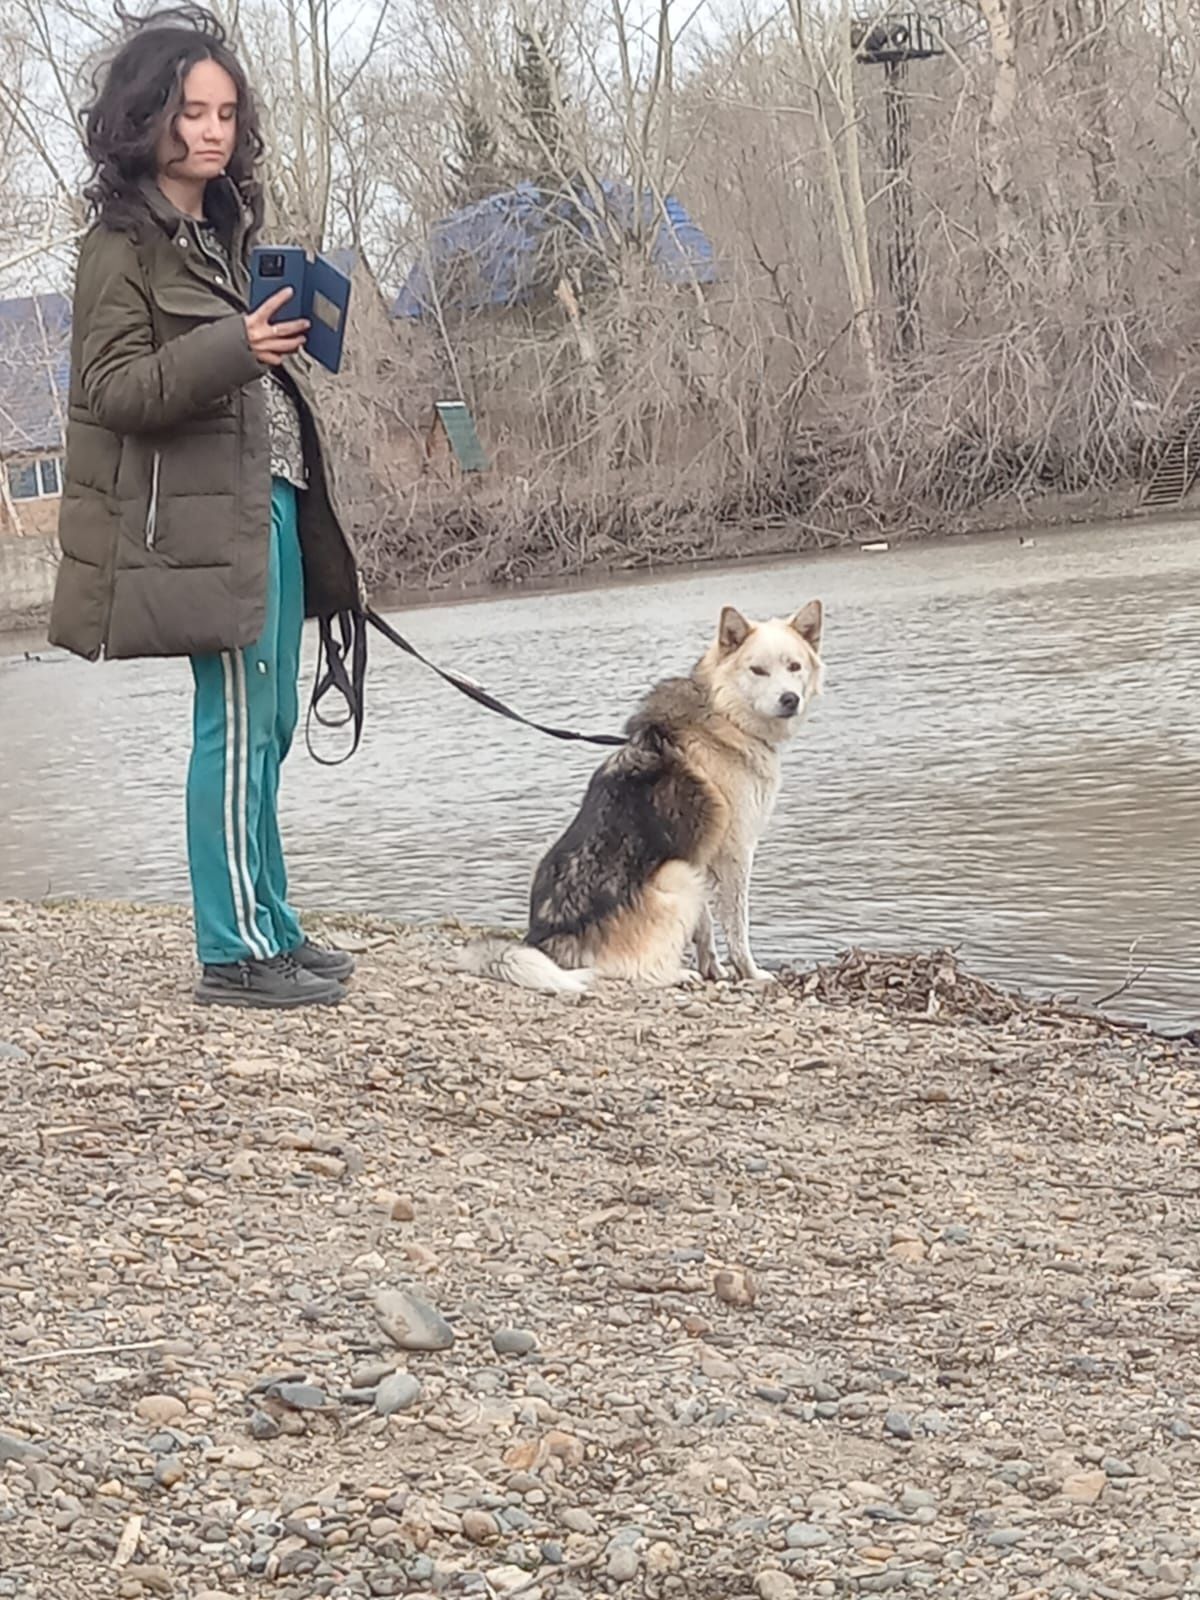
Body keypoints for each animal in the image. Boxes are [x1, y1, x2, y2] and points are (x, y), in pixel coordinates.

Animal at [460, 601, 825, 985]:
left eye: (794, 666)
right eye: (758, 670)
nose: (790, 699)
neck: (724, 714)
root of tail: (544, 941)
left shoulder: (698, 855)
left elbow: (704, 927)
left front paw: (713, 968)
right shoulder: (733, 853)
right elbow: (736, 928)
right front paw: (750, 973)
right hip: (677, 875)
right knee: (635, 973)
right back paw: (678, 975)